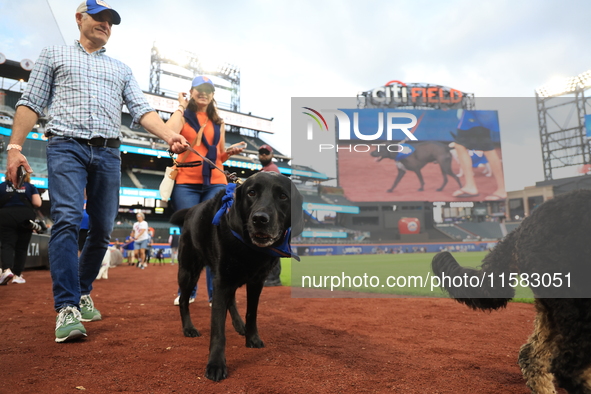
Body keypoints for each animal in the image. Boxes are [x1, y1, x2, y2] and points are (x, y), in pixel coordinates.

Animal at [169, 172, 302, 382]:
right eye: (251, 192)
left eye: (283, 196)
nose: (260, 219)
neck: (251, 248)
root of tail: (191, 210)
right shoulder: (222, 281)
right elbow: (217, 328)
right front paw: (216, 364)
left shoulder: (256, 282)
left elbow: (251, 313)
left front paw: (252, 338)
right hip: (189, 271)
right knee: (183, 300)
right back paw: (188, 328)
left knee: (230, 300)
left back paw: (239, 325)